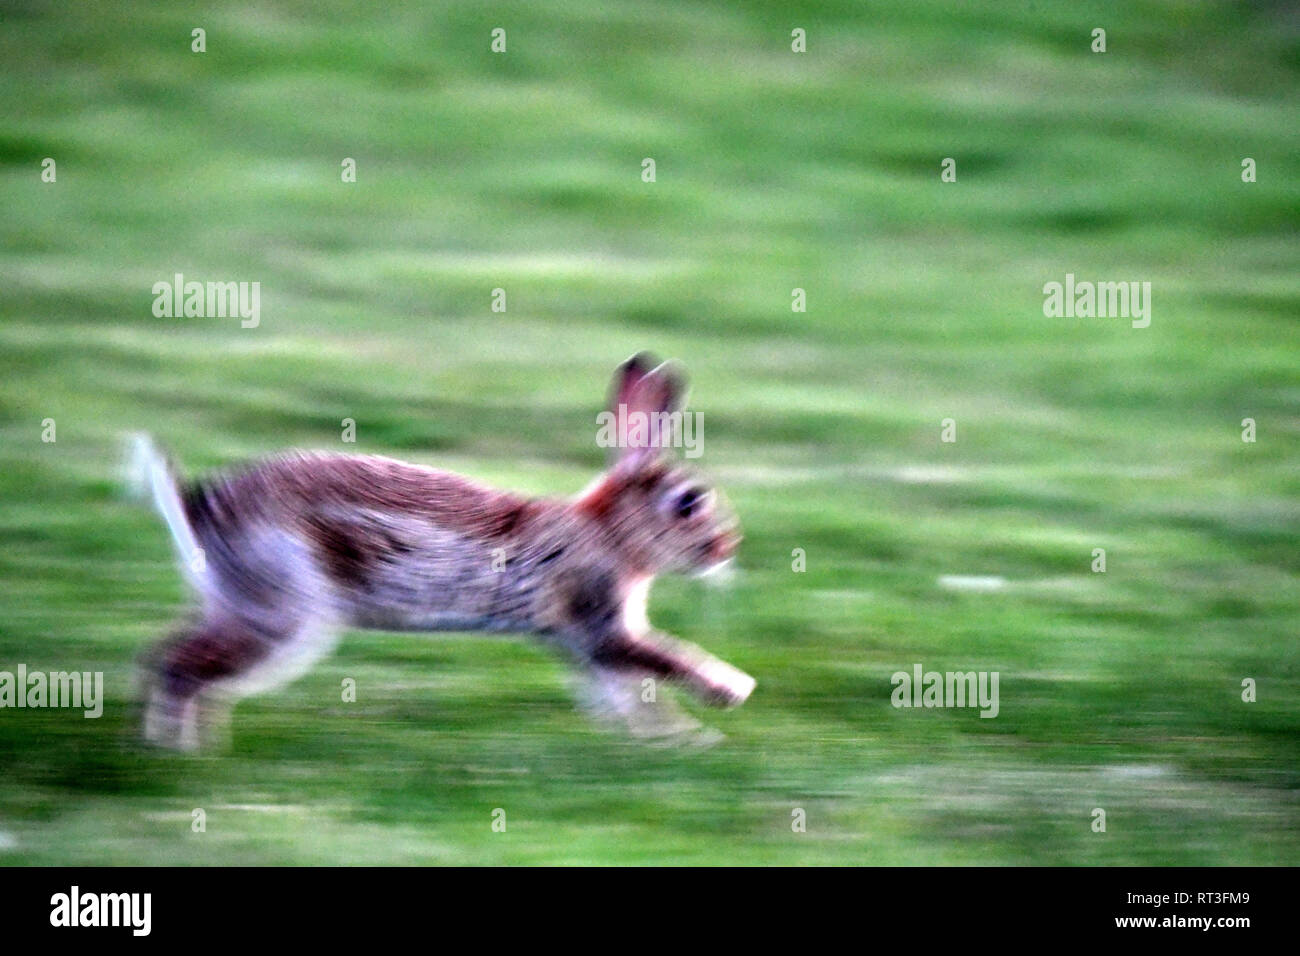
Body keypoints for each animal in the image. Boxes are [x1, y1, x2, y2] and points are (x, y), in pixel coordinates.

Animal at [128, 352, 754, 750]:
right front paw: (727, 699)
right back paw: (177, 753)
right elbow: (663, 660)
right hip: (282, 611)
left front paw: (672, 741)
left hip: (233, 599)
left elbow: (623, 695)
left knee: (169, 654)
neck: (611, 533)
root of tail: (199, 508)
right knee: (182, 665)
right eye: (689, 503)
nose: (728, 548)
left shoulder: (584, 644)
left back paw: (184, 742)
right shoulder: (599, 622)